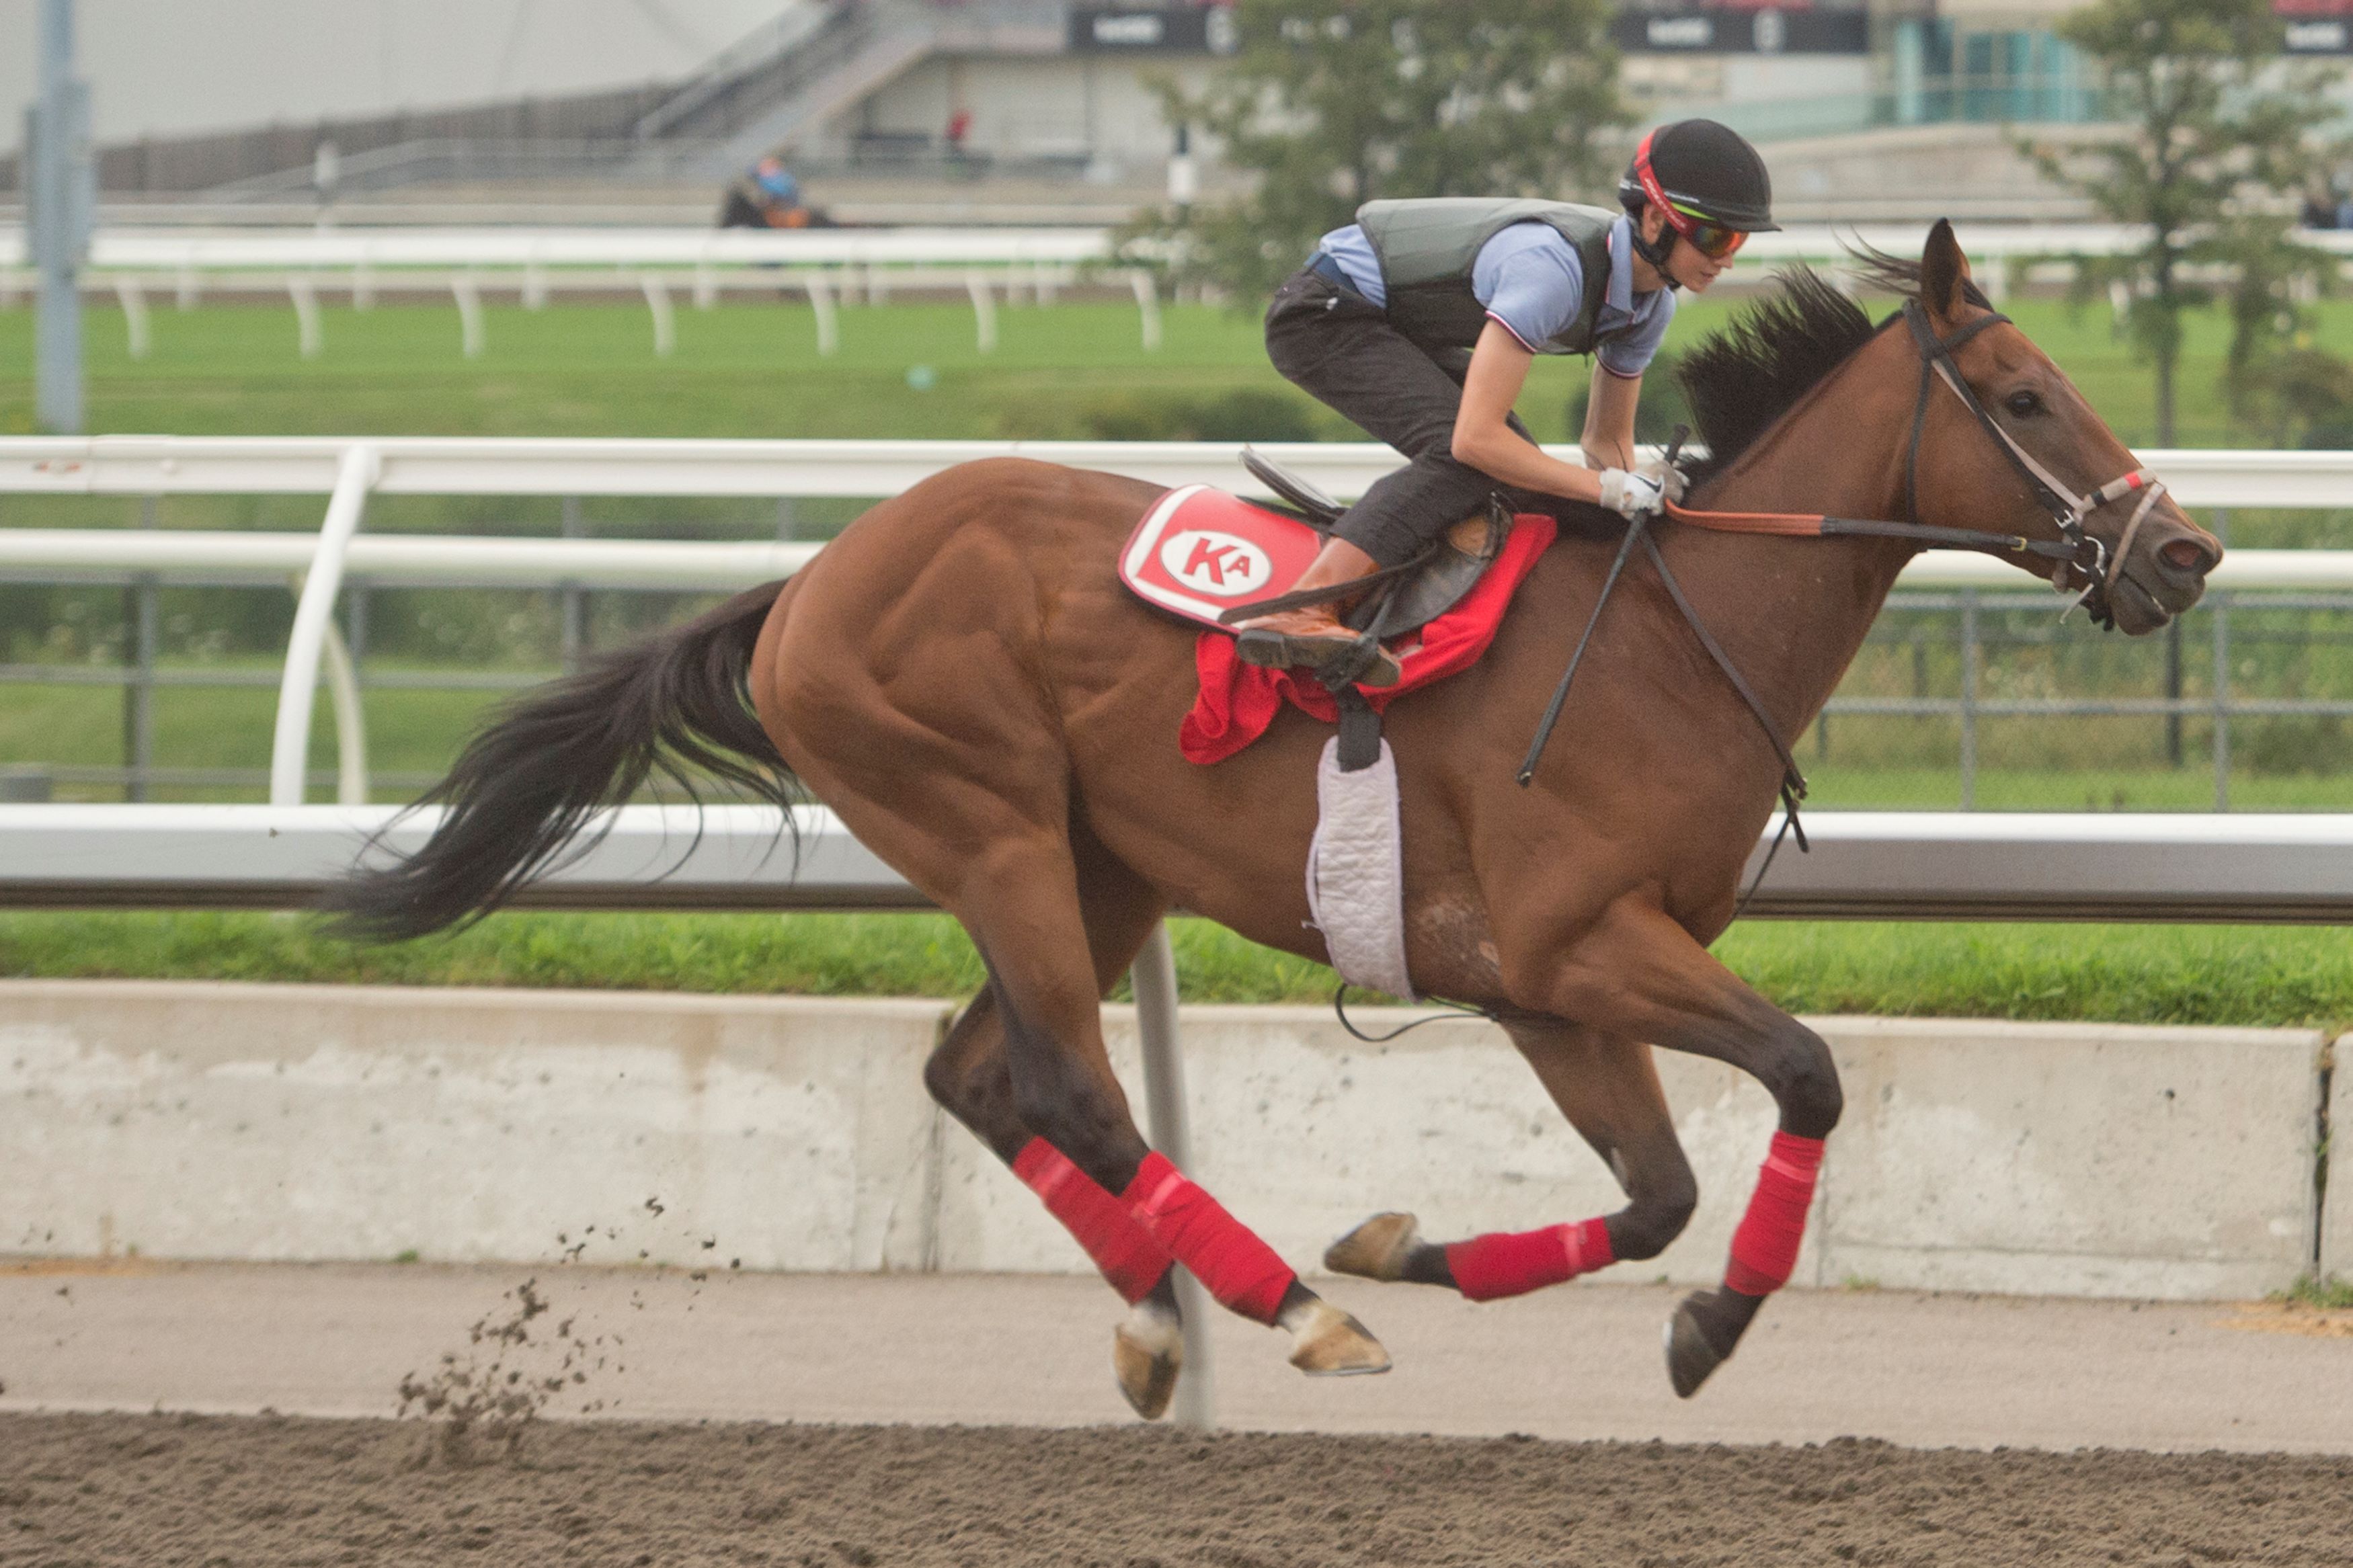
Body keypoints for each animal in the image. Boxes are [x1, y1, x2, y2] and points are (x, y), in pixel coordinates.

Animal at [331, 223, 2221, 1419]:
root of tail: (805, 583)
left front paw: (1423, 1246)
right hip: (990, 826)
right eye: (2027, 396)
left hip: (1092, 862)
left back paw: (1169, 1321)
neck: (1669, 639)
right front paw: (1690, 1325)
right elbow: (1807, 1076)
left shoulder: (1545, 988)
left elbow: (1660, 1189)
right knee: (1070, 1089)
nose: (2187, 551)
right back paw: (1287, 1314)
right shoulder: (1579, 947)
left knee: (979, 1076)